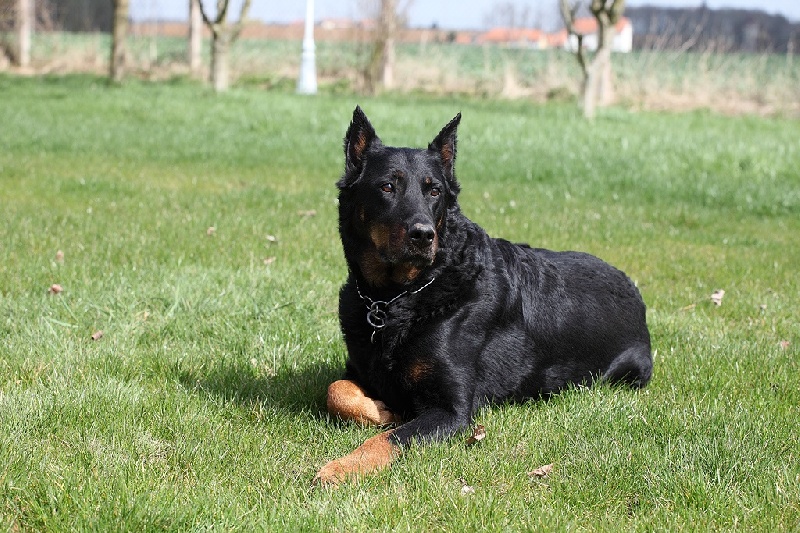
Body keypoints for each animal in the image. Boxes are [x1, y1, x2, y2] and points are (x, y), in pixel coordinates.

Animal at [312, 106, 648, 484]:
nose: (423, 235)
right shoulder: (358, 368)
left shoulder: (452, 410)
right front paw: (382, 410)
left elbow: (390, 439)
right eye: (387, 187)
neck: (400, 296)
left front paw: (342, 467)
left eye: (434, 192)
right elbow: (337, 390)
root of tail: (633, 288)